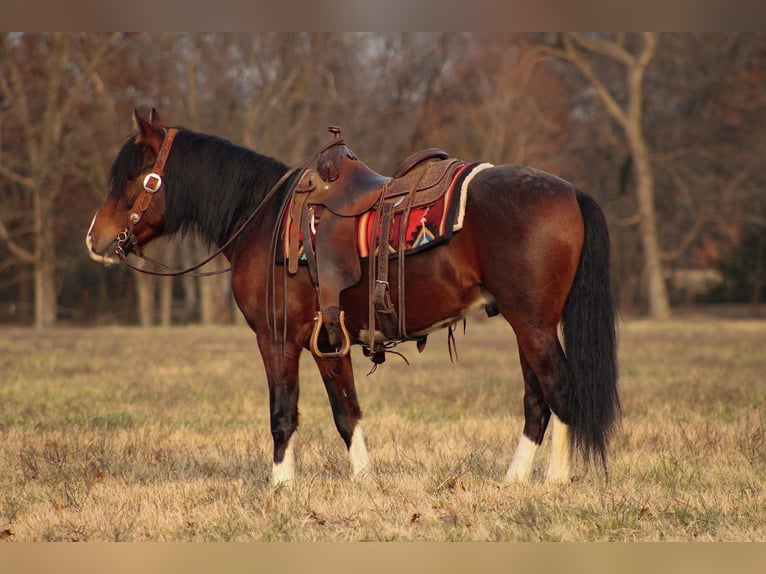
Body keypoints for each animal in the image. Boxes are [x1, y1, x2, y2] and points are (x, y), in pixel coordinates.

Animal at [86, 109, 619, 486]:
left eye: (134, 177)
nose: (95, 238)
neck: (264, 219)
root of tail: (570, 191)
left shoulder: (277, 339)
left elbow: (282, 413)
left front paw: (280, 486)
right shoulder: (327, 340)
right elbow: (347, 413)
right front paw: (364, 480)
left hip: (533, 324)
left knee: (559, 390)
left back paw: (555, 480)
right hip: (527, 325)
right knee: (536, 399)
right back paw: (514, 479)